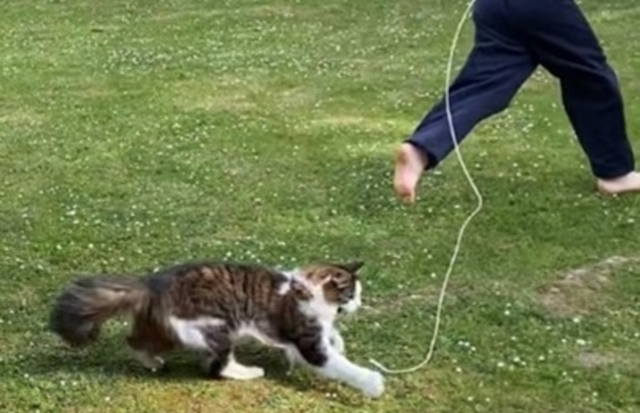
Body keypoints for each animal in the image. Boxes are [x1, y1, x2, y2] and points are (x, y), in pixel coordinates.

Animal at [48, 260, 384, 398]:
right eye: (351, 295)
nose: (359, 305)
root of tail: (153, 283)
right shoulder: (308, 342)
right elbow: (343, 366)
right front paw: (372, 383)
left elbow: (332, 337)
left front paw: (338, 339)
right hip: (220, 325)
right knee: (216, 367)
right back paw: (250, 372)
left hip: (169, 330)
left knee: (134, 340)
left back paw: (152, 362)